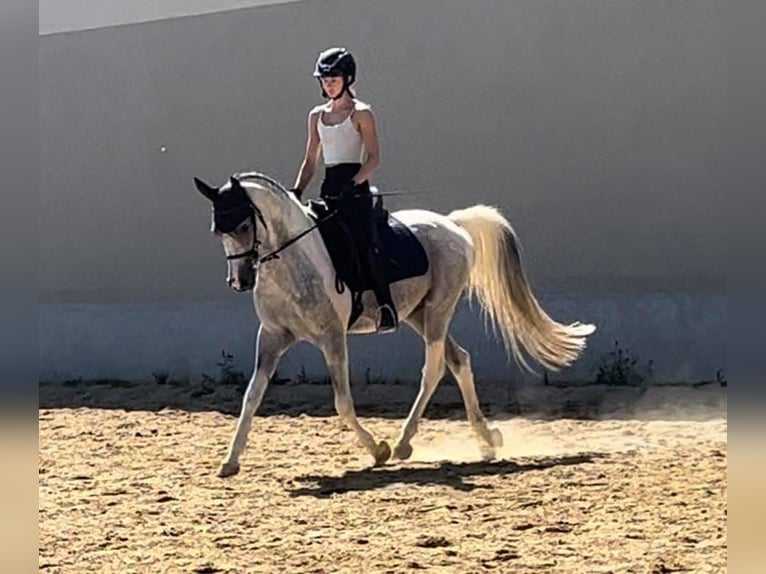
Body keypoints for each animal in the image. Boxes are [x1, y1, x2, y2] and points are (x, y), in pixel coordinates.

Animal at [193, 171, 596, 477]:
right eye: (217, 231)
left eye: (245, 224)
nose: (240, 281)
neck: (294, 261)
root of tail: (454, 224)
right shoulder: (273, 337)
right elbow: (252, 396)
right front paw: (230, 461)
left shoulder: (332, 338)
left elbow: (342, 403)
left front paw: (378, 450)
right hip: (417, 314)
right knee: (460, 360)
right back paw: (487, 439)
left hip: (438, 312)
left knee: (434, 369)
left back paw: (403, 443)